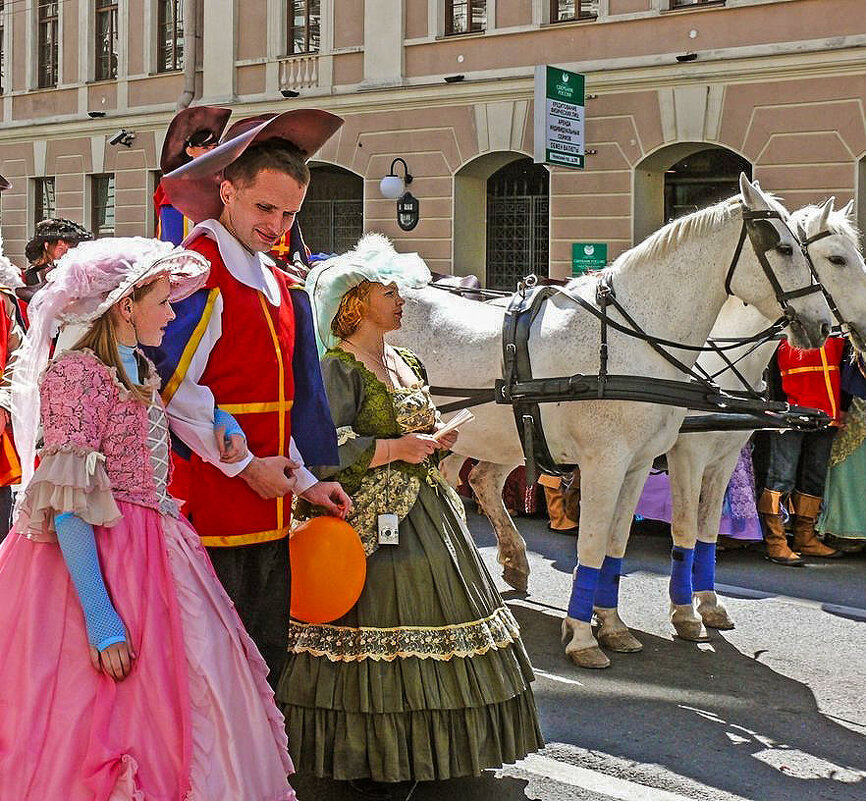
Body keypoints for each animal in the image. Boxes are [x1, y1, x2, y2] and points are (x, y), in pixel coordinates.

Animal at [392, 177, 832, 668]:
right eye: (784, 248)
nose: (822, 324)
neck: (630, 342)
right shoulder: (606, 463)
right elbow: (591, 543)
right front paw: (584, 637)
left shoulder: (637, 465)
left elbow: (615, 544)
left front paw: (611, 624)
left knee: (471, 483)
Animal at [660, 202, 864, 644]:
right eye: (837, 259)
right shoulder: (687, 458)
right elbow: (683, 528)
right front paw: (684, 611)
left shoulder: (723, 459)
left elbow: (706, 530)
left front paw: (709, 604)